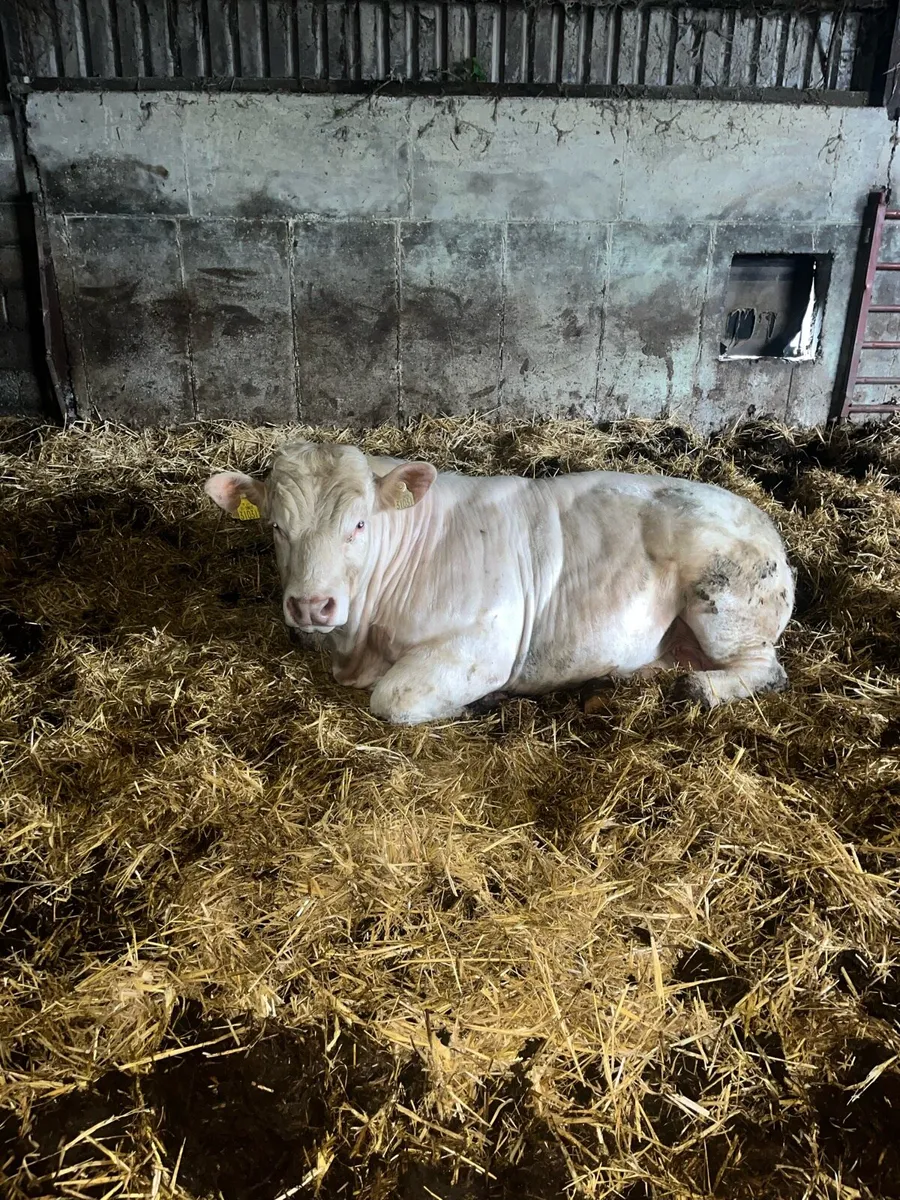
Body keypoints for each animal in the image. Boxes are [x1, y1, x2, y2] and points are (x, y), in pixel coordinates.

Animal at [205, 441, 794, 726]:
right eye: (276, 527)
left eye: (359, 524)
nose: (312, 605)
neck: (360, 644)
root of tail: (761, 520)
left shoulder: (486, 641)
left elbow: (393, 697)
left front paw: (479, 704)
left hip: (724, 604)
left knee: (767, 669)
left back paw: (700, 688)